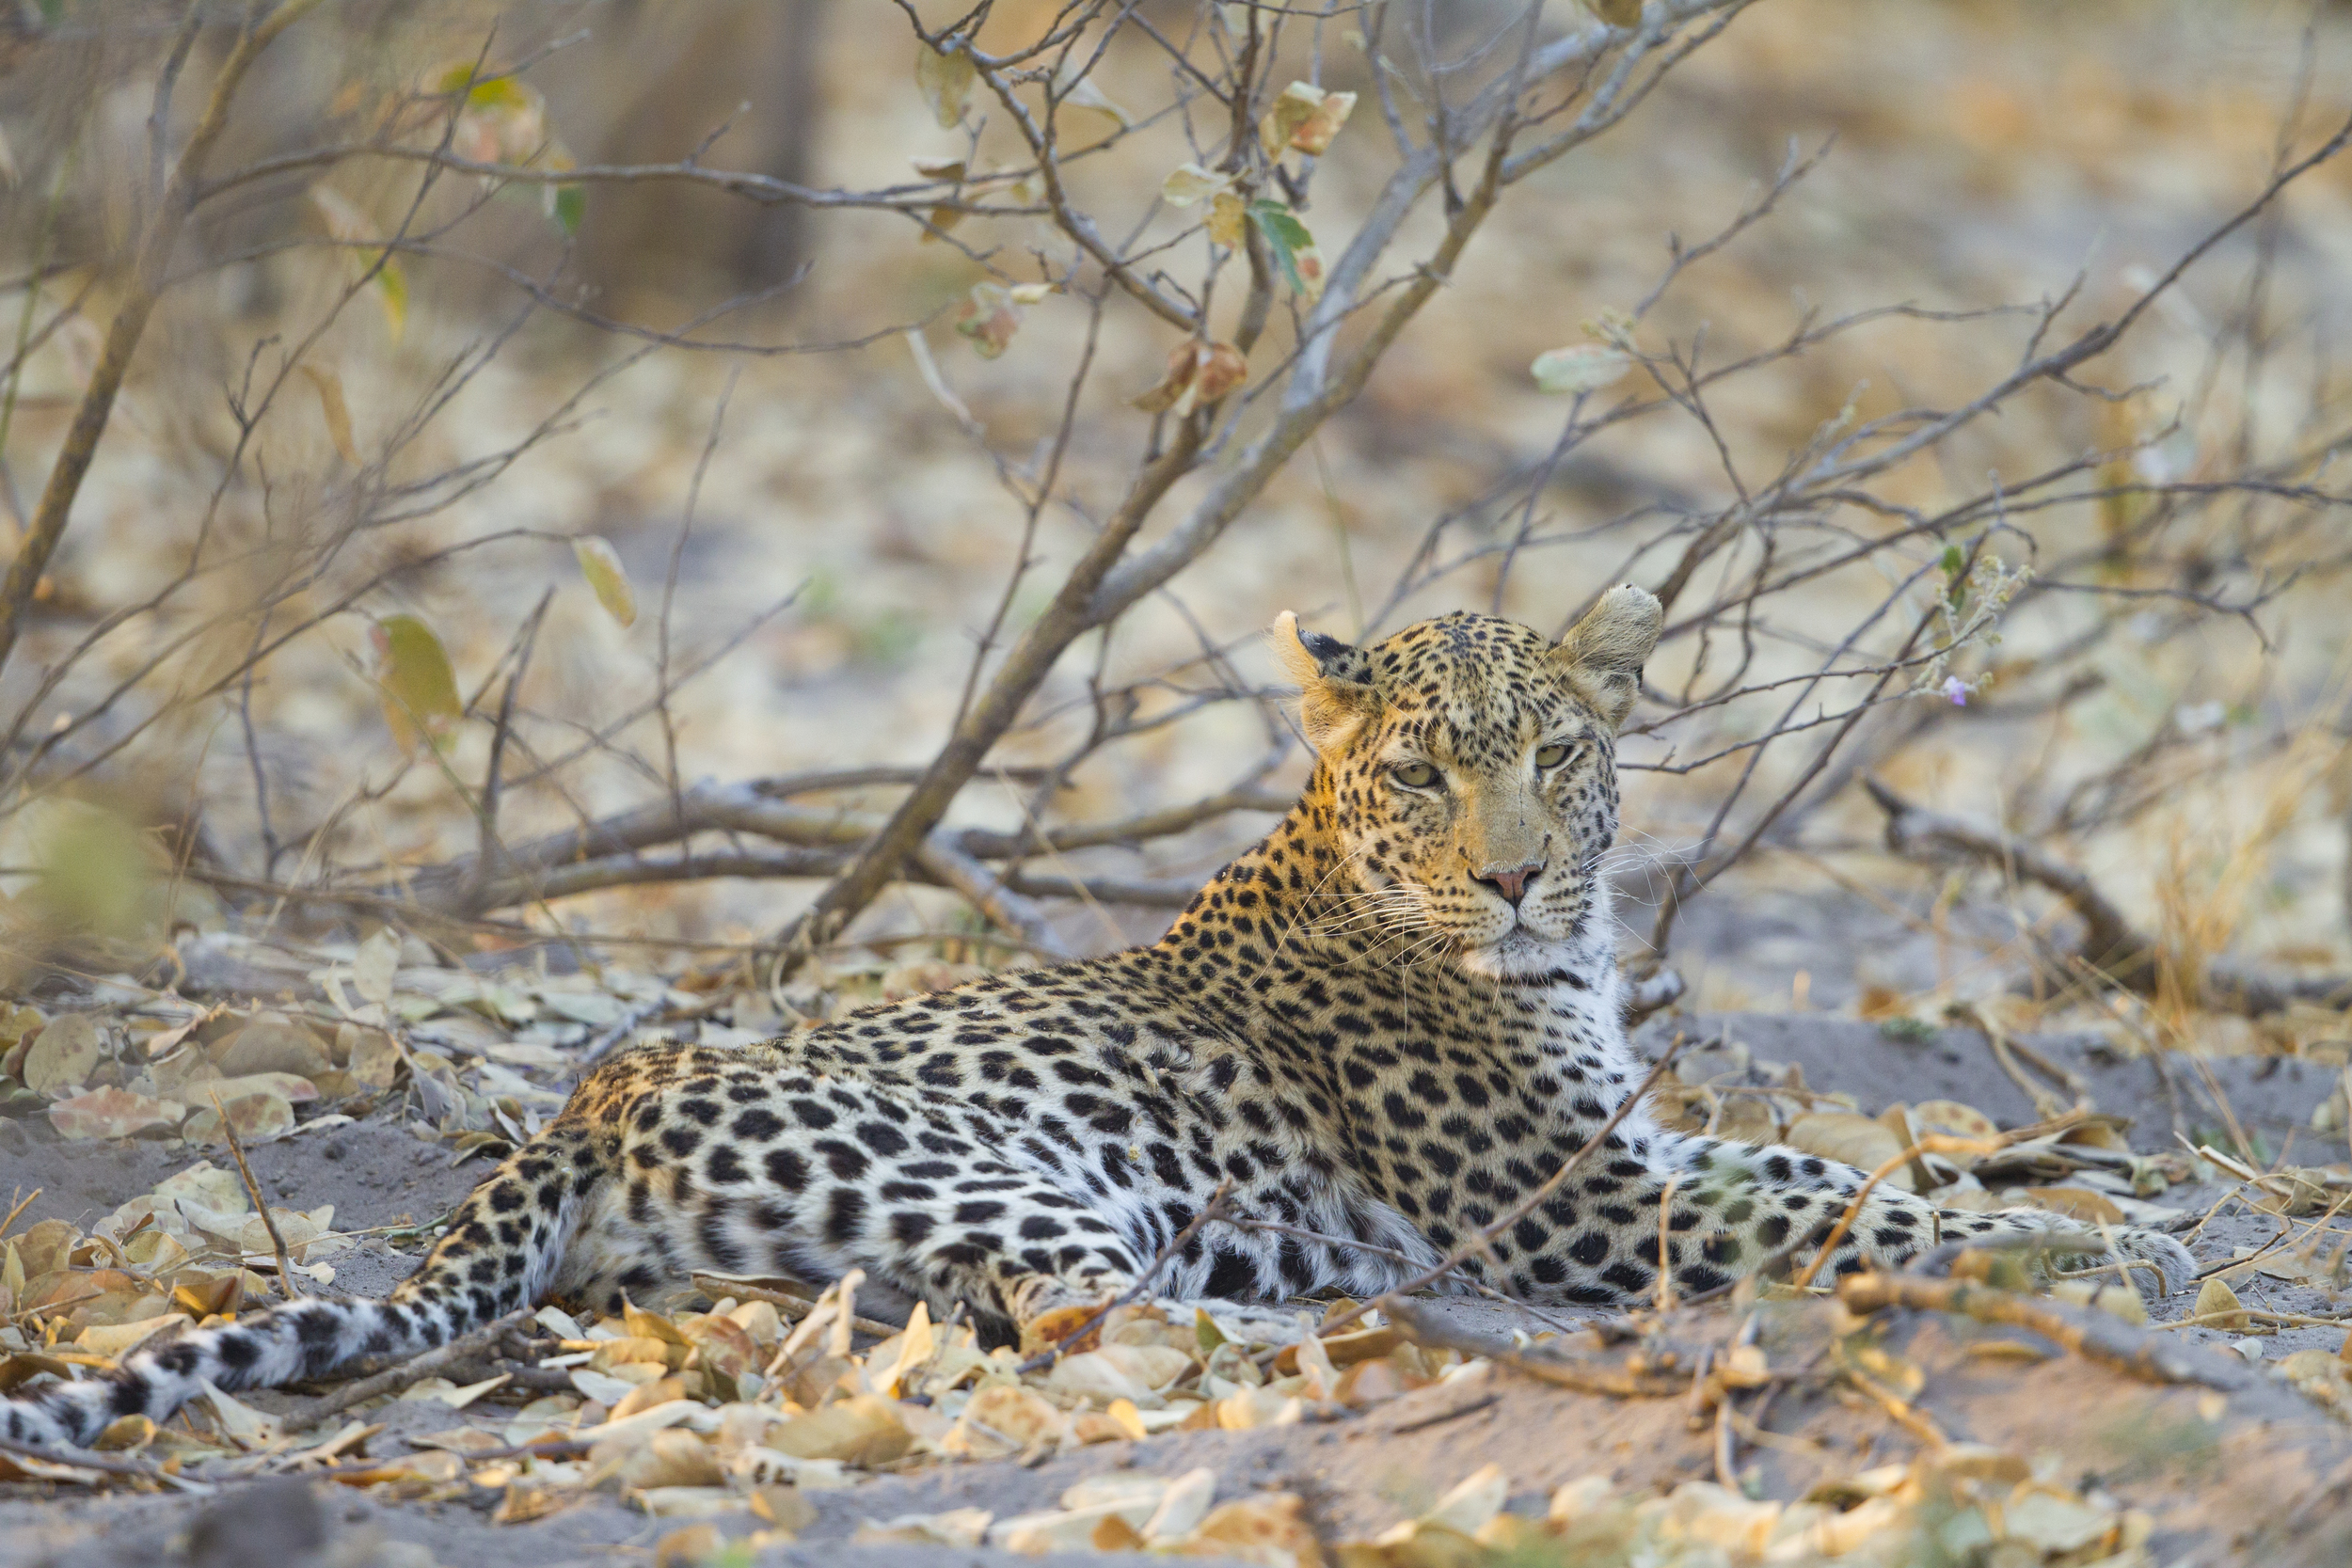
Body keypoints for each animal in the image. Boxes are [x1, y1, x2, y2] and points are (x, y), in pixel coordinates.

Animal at [0, 587, 2192, 1448]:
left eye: (1554, 755)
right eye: (1427, 768)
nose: (1506, 875)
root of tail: (589, 1104)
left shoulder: (1629, 1147)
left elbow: (1818, 1154)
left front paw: (2101, 1197)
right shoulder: (1571, 1203)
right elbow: (1840, 1197)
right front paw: (2083, 1240)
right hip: (1039, 1192)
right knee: (1045, 1320)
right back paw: (1330, 1328)